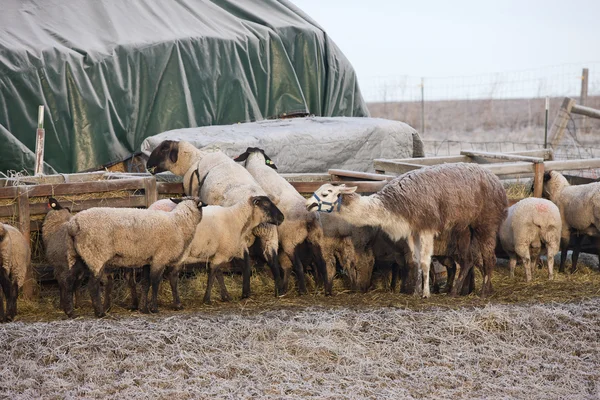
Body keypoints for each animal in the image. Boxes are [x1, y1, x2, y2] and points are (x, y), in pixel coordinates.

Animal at [146, 140, 284, 296]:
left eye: (163, 148)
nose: (148, 165)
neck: (195, 159)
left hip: (240, 236)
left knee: (246, 262)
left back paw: (245, 292)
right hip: (269, 231)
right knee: (272, 258)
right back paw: (280, 290)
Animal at [233, 148, 328, 296]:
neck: (257, 163)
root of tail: (309, 217)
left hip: (290, 241)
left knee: (299, 266)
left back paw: (303, 290)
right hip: (316, 239)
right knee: (322, 263)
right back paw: (325, 289)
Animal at [304, 162, 506, 296]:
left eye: (325, 193)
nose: (308, 204)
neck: (393, 205)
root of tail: (496, 180)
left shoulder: (426, 227)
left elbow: (425, 261)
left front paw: (426, 293)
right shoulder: (412, 231)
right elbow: (415, 261)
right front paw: (415, 291)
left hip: (486, 222)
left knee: (489, 257)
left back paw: (483, 292)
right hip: (464, 229)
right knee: (468, 260)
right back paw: (459, 291)